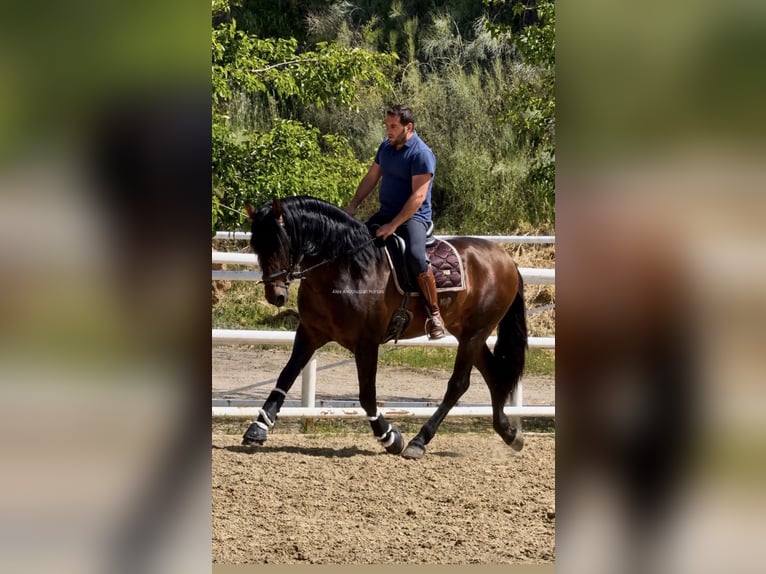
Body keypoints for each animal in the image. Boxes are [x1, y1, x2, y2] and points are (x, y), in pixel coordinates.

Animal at [241, 196, 527, 460]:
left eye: (279, 242)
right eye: (257, 245)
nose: (275, 295)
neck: (347, 267)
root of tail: (506, 258)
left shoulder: (366, 343)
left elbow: (367, 395)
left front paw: (390, 437)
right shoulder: (309, 334)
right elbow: (285, 377)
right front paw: (257, 428)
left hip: (475, 333)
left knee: (458, 384)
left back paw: (418, 441)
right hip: (467, 332)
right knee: (494, 376)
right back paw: (509, 434)